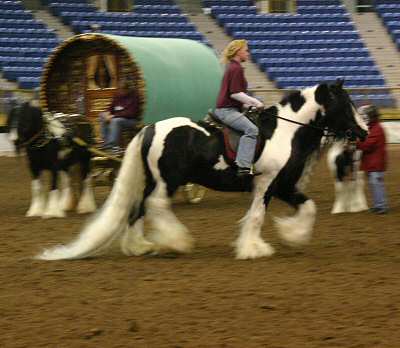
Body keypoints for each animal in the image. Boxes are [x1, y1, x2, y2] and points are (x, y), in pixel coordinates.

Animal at [38, 80, 368, 260]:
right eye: (344, 104)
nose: (363, 132)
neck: (283, 131)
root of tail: (149, 129)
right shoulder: (266, 184)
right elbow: (257, 215)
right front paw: (253, 249)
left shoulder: (283, 184)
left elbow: (308, 208)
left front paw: (293, 235)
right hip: (167, 181)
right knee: (155, 206)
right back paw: (176, 241)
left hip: (152, 181)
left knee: (137, 209)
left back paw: (139, 246)